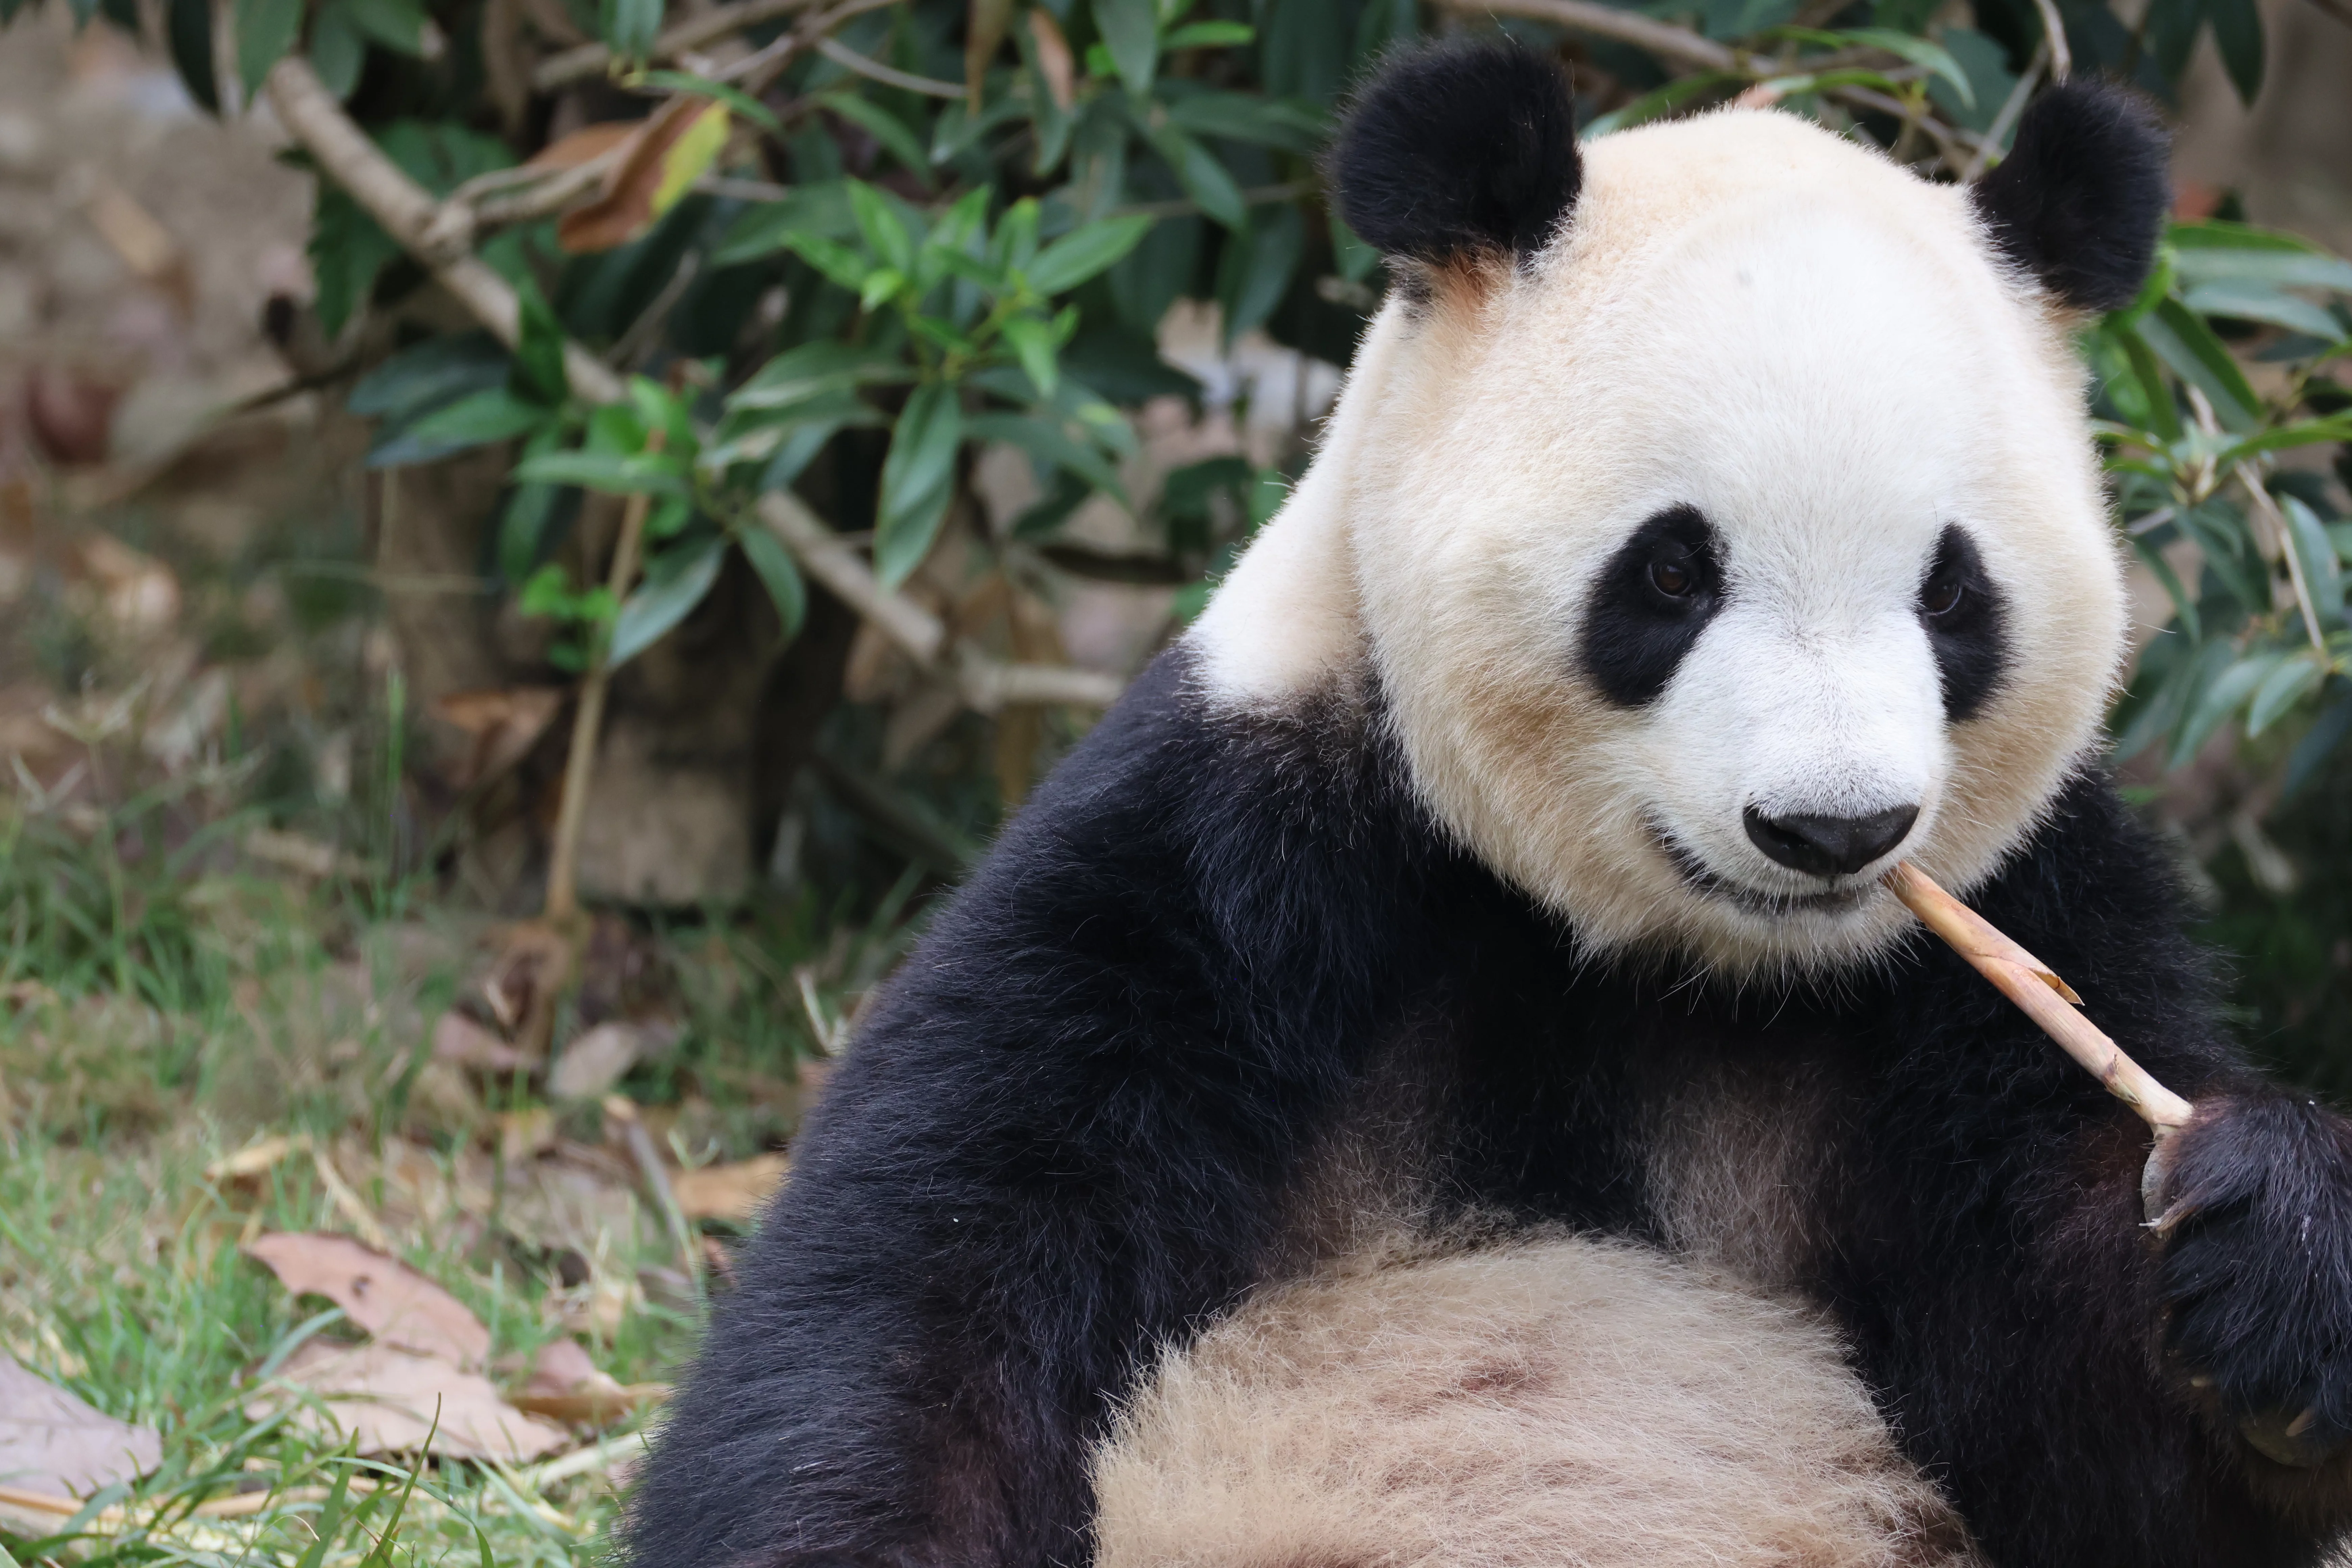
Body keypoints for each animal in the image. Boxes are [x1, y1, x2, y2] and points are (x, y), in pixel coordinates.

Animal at [623, 39, 2352, 1568]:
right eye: (1672, 571)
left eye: (1951, 593)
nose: (1834, 831)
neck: (1653, 959)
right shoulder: (1231, 869)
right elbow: (926, 1298)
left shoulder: (2002, 938)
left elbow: (2097, 1441)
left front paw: (2275, 1247)